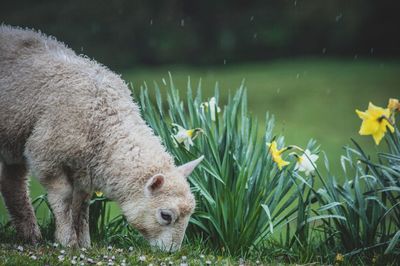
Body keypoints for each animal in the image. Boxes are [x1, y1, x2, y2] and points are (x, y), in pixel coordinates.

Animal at [0, 25, 203, 251]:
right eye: (166, 215)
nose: (171, 252)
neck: (103, 116)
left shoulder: (84, 169)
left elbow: (81, 204)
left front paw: (84, 242)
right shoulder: (46, 156)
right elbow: (64, 198)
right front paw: (67, 240)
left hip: (14, 138)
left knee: (11, 183)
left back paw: (30, 236)